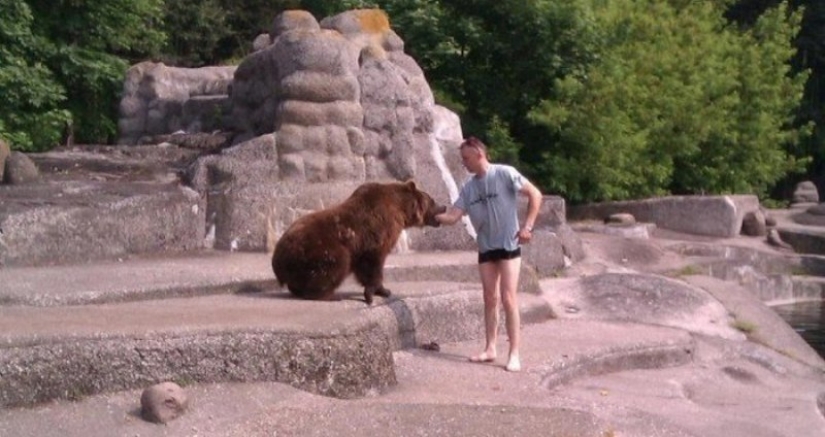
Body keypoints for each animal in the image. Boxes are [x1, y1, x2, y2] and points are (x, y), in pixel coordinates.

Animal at [271, 180, 446, 304]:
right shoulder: (376, 234)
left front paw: (381, 290)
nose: (444, 207)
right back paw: (329, 296)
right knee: (337, 263)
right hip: (318, 250)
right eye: (432, 200)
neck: (401, 211)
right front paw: (378, 291)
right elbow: (373, 264)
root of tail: (277, 258)